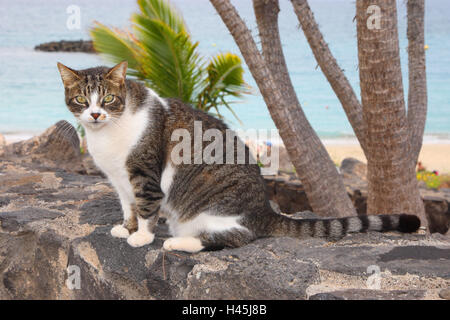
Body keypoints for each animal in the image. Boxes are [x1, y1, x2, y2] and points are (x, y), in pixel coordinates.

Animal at [57, 62, 422, 252]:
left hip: (210, 213)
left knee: (232, 238)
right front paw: (125, 228)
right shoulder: (120, 181)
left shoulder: (144, 175)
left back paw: (178, 244)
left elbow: (147, 207)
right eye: (81, 99)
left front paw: (142, 236)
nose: (94, 115)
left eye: (108, 99)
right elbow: (128, 207)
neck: (107, 135)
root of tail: (264, 211)